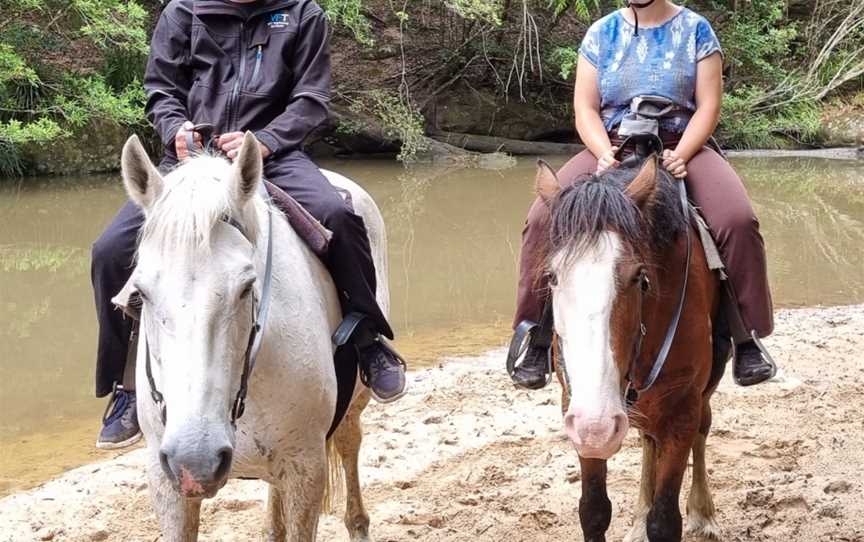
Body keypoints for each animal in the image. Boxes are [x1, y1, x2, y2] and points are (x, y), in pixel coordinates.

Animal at [120, 133, 382, 542]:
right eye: (141, 293)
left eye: (246, 287)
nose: (195, 459)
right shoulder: (166, 483)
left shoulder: (306, 468)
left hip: (354, 403)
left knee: (349, 442)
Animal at [536, 157, 732, 542]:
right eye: (552, 277)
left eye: (639, 278)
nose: (597, 427)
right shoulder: (574, 407)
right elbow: (594, 511)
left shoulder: (682, 410)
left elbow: (665, 521)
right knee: (647, 439)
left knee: (702, 429)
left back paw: (704, 513)